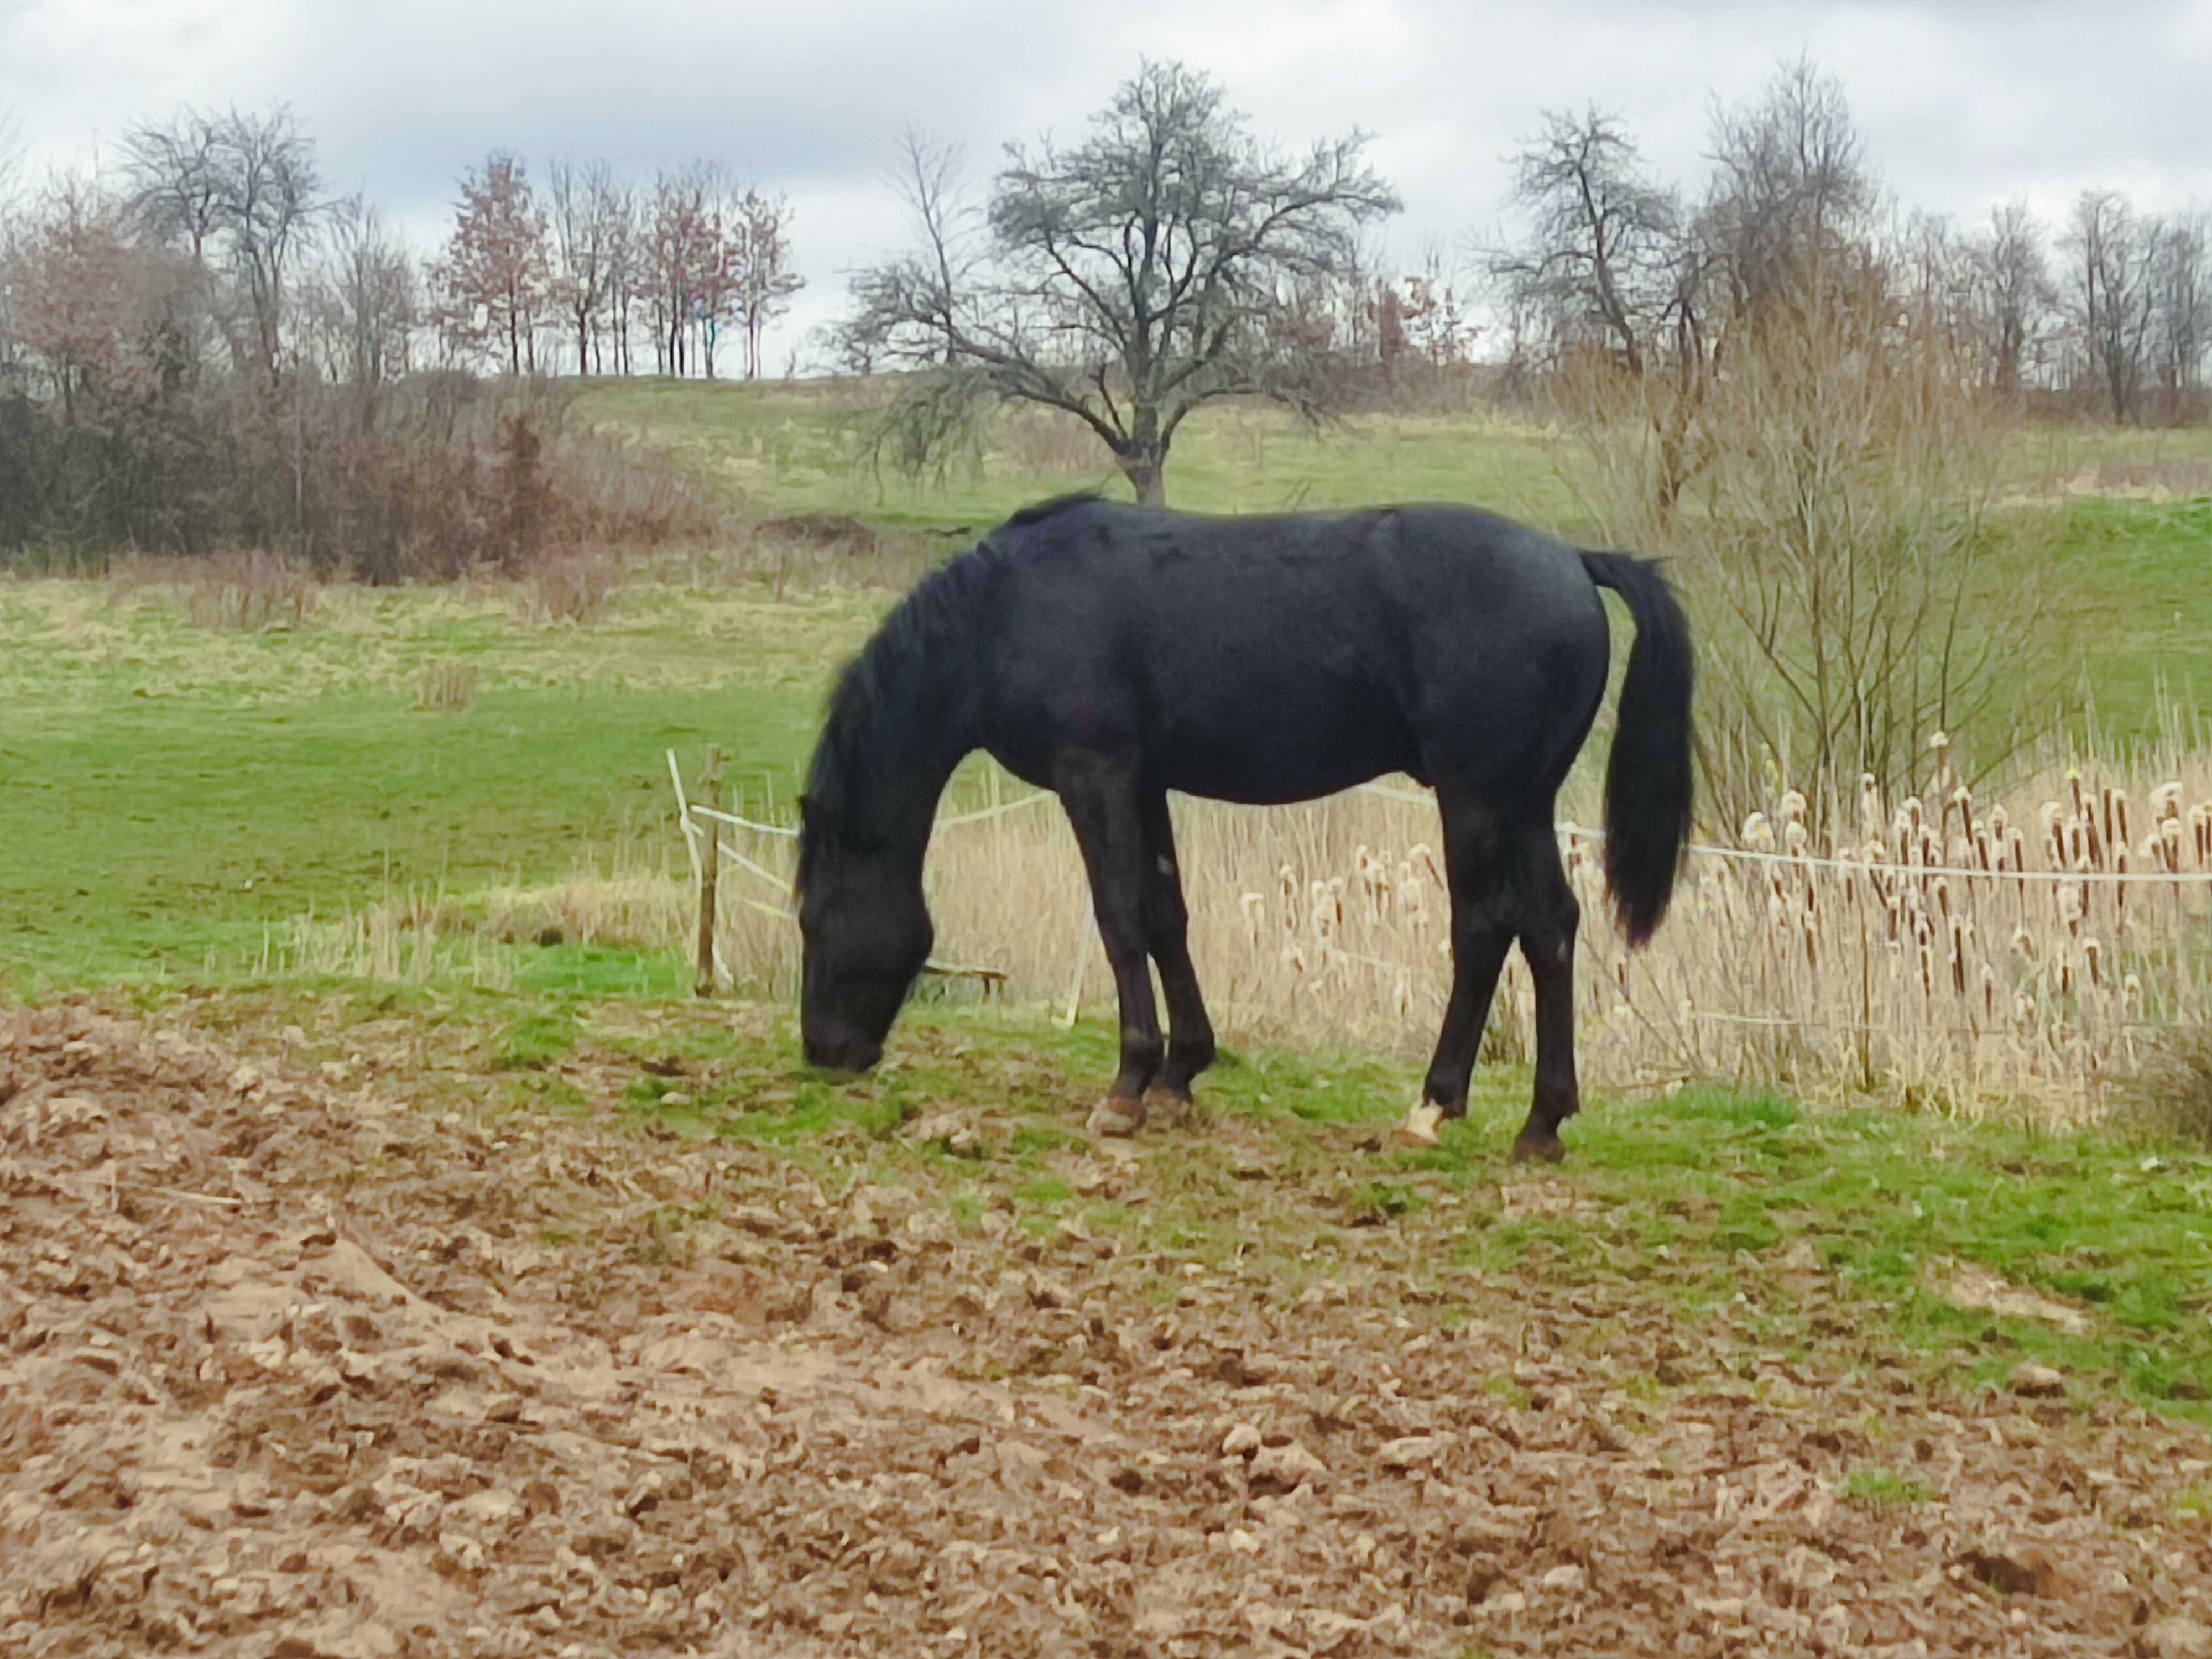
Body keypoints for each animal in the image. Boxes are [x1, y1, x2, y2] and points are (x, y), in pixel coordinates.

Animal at [796, 498, 1690, 1159]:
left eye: (812, 917)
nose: (822, 1053)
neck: (1006, 613)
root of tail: (1572, 560)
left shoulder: (1094, 777)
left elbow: (1120, 920)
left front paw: (1127, 1087)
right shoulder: (1144, 782)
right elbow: (1165, 916)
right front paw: (1179, 1073)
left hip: (1477, 798)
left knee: (1484, 928)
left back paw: (1432, 1108)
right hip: (1523, 802)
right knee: (1550, 928)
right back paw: (1541, 1124)